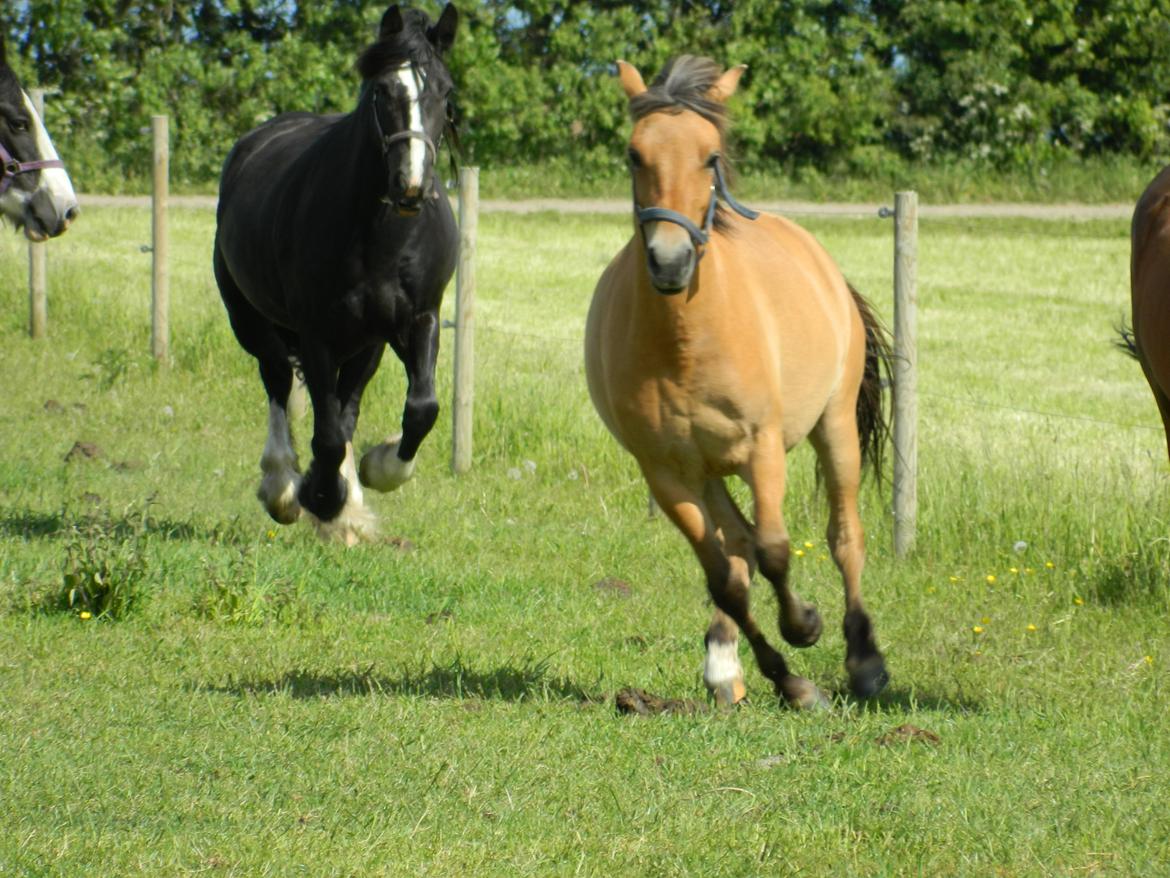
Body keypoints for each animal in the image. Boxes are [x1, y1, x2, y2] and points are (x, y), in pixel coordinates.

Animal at [214, 5, 456, 543]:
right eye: (383, 91)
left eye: (445, 92)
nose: (411, 185)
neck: (383, 237)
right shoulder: (316, 333)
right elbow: (324, 433)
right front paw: (320, 497)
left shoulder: (418, 320)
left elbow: (420, 410)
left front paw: (375, 471)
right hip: (251, 321)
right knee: (278, 380)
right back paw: (283, 488)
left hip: (366, 342)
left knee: (347, 403)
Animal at [580, 56, 889, 707]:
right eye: (633, 154)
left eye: (711, 156)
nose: (670, 261)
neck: (685, 343)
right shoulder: (667, 472)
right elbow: (725, 575)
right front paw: (786, 678)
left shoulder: (762, 449)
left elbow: (775, 550)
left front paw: (805, 626)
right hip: (709, 472)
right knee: (735, 547)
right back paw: (725, 663)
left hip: (833, 429)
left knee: (842, 535)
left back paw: (865, 661)